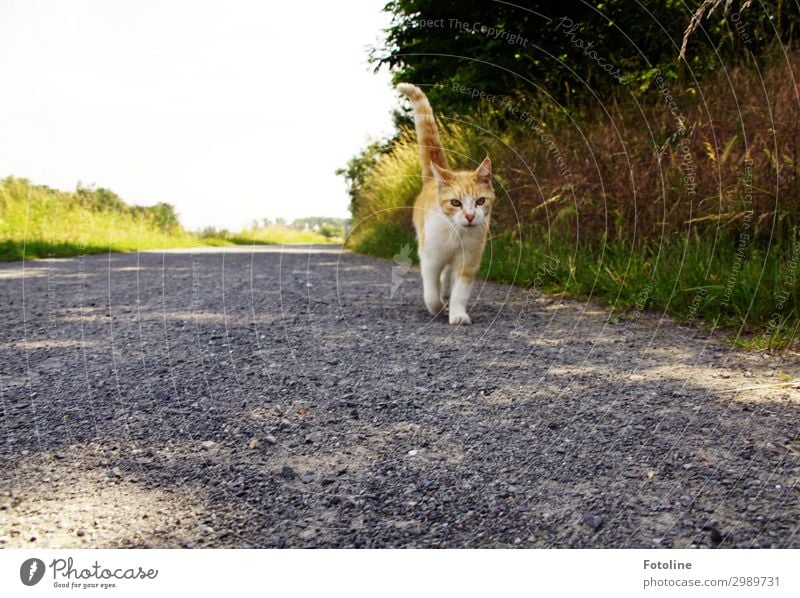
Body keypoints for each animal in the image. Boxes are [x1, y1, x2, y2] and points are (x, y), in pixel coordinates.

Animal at [396, 82, 494, 326]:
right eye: (455, 202)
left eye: (480, 201)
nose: (470, 216)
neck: (456, 233)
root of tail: (433, 178)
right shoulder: (430, 258)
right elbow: (431, 290)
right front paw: (437, 307)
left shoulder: (468, 261)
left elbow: (460, 291)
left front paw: (457, 314)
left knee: (448, 278)